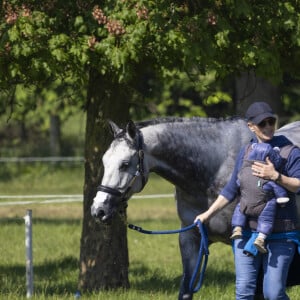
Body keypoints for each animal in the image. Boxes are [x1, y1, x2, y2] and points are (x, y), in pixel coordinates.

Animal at [91, 117, 300, 300]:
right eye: (104, 161)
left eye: (125, 164)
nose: (98, 210)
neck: (214, 169)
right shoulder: (190, 238)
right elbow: (185, 291)